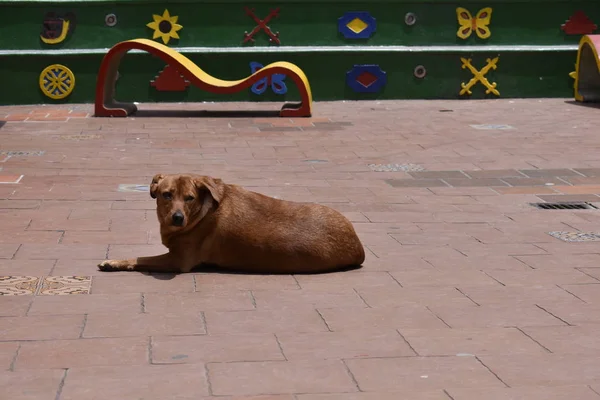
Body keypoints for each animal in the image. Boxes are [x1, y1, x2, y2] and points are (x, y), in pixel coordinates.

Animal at [97, 173, 366, 274]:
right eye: (166, 195)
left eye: (189, 198)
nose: (177, 218)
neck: (202, 211)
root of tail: (358, 246)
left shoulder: (178, 260)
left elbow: (140, 258)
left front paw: (113, 262)